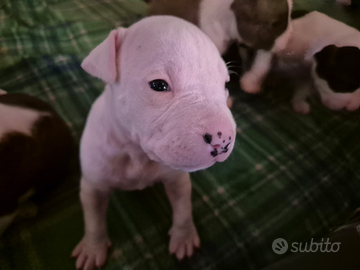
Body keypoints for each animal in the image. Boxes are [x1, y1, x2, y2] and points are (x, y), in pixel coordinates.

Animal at [72, 15, 238, 270]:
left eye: (224, 84)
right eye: (159, 85)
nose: (224, 139)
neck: (136, 153)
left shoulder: (177, 179)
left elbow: (183, 206)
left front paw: (183, 236)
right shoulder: (93, 185)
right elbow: (93, 218)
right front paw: (93, 247)